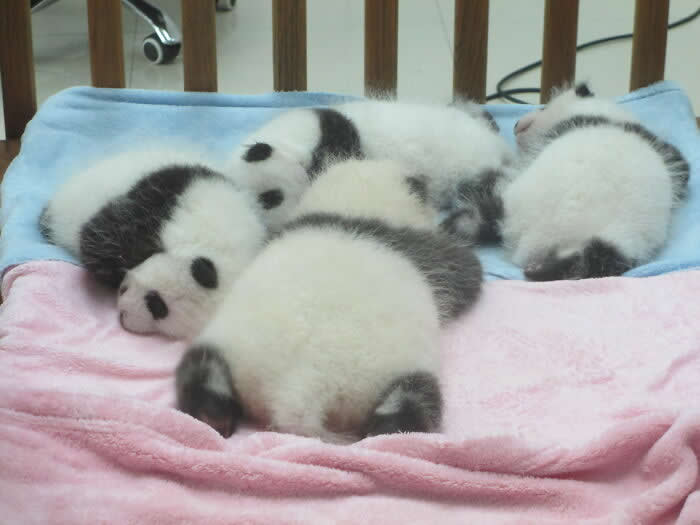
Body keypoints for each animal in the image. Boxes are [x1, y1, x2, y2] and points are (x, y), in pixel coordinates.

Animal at [175, 159, 483, 442]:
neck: (351, 207)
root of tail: (301, 388)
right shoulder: (421, 250)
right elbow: (463, 273)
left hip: (233, 349)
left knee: (202, 367)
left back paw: (211, 414)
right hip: (387, 375)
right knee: (413, 398)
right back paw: (390, 433)